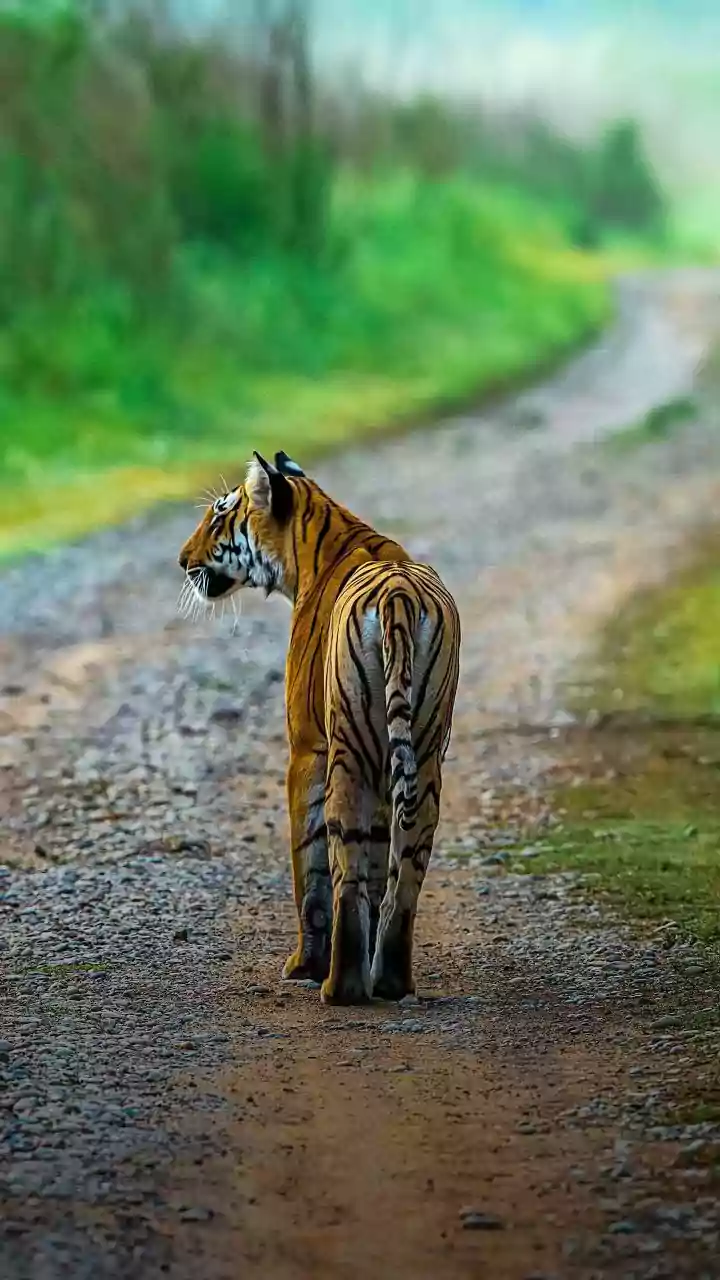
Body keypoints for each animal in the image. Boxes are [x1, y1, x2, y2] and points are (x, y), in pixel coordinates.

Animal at [178, 451, 460, 1005]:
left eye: (219, 516)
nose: (181, 560)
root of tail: (398, 593)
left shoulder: (306, 749)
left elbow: (307, 867)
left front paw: (303, 964)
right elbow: (378, 863)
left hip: (347, 754)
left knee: (344, 869)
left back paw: (340, 985)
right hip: (423, 754)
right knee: (406, 870)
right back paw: (390, 981)